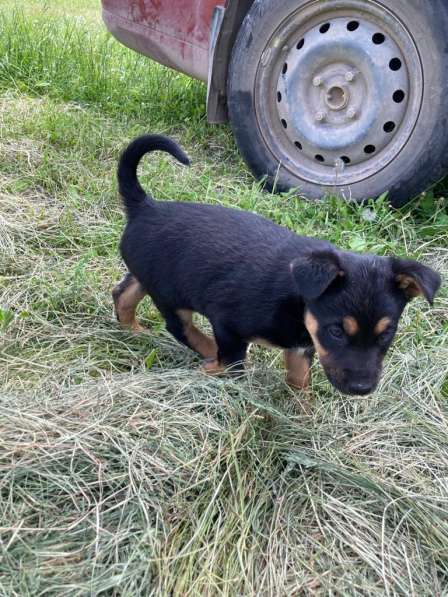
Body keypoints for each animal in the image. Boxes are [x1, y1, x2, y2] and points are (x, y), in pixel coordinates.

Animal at [112, 136, 440, 396]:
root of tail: (146, 207)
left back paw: (134, 332)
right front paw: (222, 377)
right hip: (172, 298)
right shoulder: (228, 325)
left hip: (154, 278)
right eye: (336, 331)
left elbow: (299, 383)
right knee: (182, 329)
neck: (297, 303)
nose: (362, 389)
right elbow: (233, 363)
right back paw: (203, 358)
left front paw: (301, 420)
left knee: (123, 294)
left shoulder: (300, 348)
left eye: (387, 333)